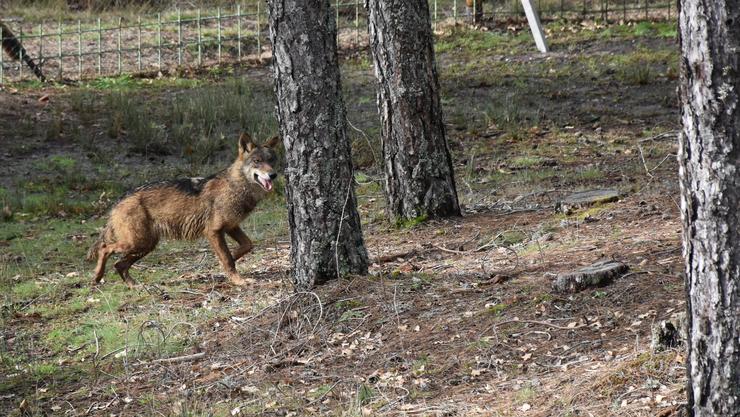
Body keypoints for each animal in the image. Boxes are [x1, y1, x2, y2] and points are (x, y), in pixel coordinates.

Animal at [86, 133, 280, 286]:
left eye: (272, 160)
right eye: (257, 161)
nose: (273, 175)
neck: (236, 186)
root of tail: (119, 200)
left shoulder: (231, 227)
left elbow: (246, 246)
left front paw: (231, 258)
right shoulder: (214, 231)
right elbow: (227, 259)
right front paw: (238, 280)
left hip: (146, 245)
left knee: (119, 265)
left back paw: (134, 285)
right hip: (138, 242)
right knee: (104, 248)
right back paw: (97, 277)